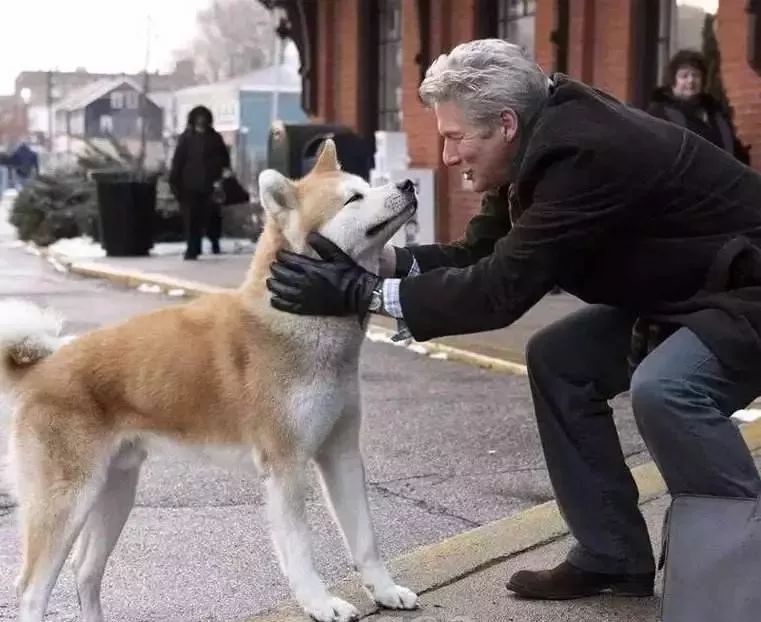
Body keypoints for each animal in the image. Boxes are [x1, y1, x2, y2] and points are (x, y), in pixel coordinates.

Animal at [0, 141, 416, 622]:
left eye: (368, 186)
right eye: (353, 199)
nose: (408, 184)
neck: (295, 321)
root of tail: (42, 368)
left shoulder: (341, 452)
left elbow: (366, 538)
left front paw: (385, 590)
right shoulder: (286, 466)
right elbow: (300, 551)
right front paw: (319, 603)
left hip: (115, 492)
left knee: (85, 572)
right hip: (66, 501)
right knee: (33, 590)